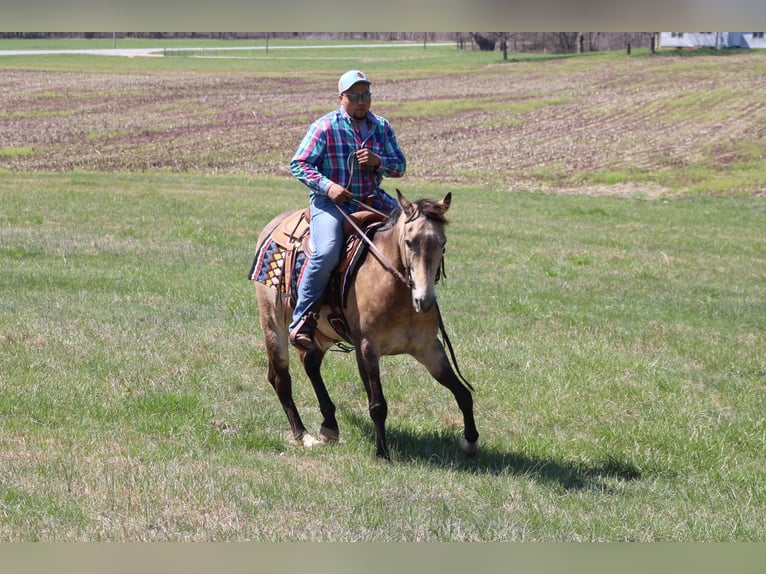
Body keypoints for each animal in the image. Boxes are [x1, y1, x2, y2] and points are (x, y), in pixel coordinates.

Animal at [250, 191, 480, 462]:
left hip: (323, 332)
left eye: (442, 243)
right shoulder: (367, 348)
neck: (395, 289)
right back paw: (303, 435)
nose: (424, 300)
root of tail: (274, 225)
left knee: (310, 363)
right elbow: (377, 404)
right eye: (409, 242)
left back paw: (329, 426)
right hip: (273, 323)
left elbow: (463, 393)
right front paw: (382, 453)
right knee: (280, 379)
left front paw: (470, 442)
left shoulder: (428, 348)